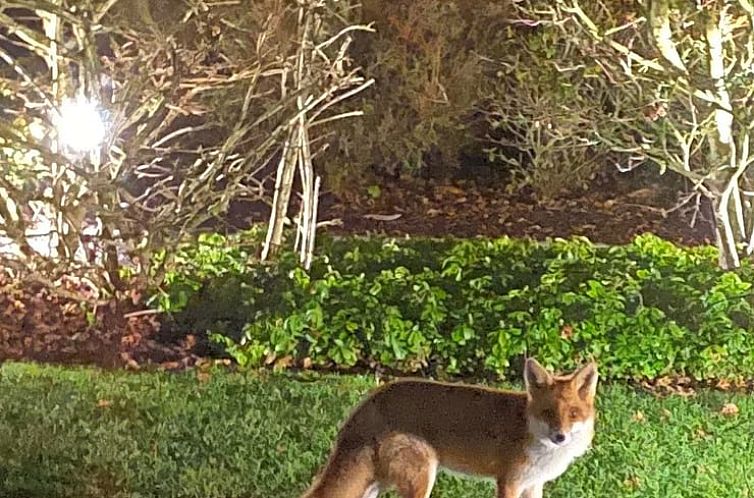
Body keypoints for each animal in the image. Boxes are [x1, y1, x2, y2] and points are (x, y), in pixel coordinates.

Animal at [296, 358, 596, 498]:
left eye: (572, 414)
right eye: (548, 413)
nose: (560, 436)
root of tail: (370, 400)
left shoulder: (533, 484)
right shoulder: (509, 481)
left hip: (374, 484)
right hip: (421, 474)